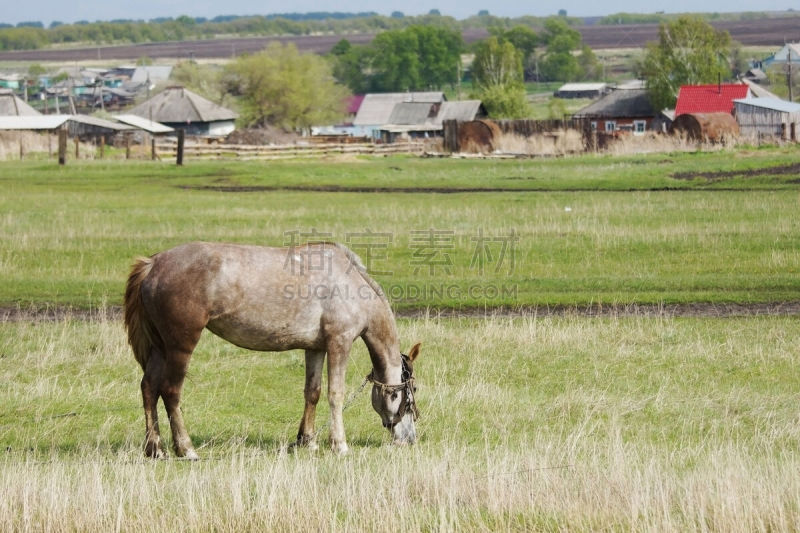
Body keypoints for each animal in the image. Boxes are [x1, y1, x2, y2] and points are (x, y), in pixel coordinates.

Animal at [122, 241, 422, 458]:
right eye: (410, 394)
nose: (410, 439)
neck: (350, 284)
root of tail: (154, 263)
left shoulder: (316, 348)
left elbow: (312, 392)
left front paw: (307, 441)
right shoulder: (340, 342)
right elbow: (335, 394)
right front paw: (339, 444)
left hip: (160, 348)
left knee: (149, 388)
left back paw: (155, 448)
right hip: (179, 347)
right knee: (170, 392)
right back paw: (186, 448)